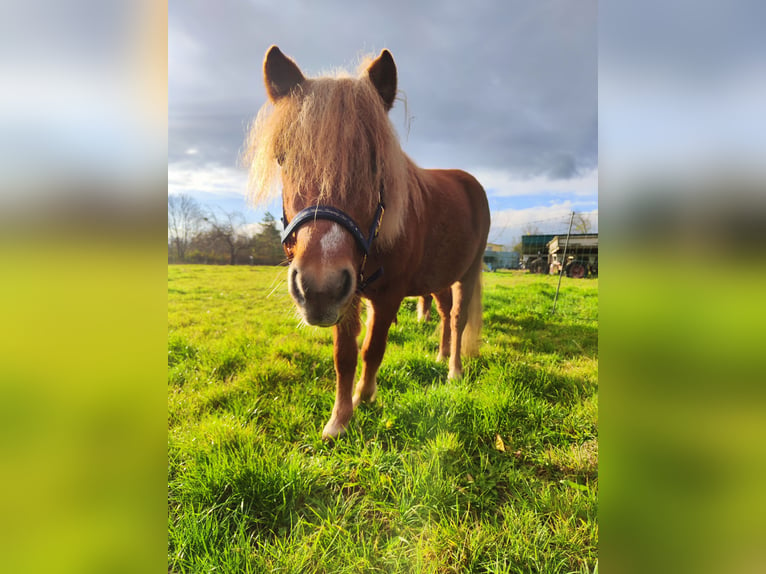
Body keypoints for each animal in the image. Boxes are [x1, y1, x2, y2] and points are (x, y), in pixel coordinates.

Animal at [246, 46, 492, 440]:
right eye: (282, 157)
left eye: (376, 161)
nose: (318, 285)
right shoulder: (347, 299)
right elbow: (344, 357)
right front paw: (339, 419)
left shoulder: (388, 297)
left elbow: (372, 350)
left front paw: (365, 397)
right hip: (437, 277)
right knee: (442, 313)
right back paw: (440, 356)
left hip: (467, 274)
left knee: (457, 319)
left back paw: (454, 370)